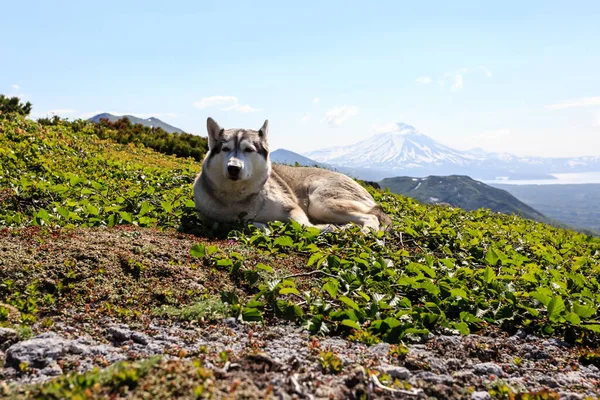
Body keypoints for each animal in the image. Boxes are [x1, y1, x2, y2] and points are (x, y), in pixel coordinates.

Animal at [191, 117, 390, 233]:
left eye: (248, 150)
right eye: (225, 149)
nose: (233, 168)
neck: (238, 199)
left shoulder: (294, 209)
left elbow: (305, 226)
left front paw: (329, 229)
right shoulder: (213, 219)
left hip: (320, 203)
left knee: (371, 217)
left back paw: (364, 231)